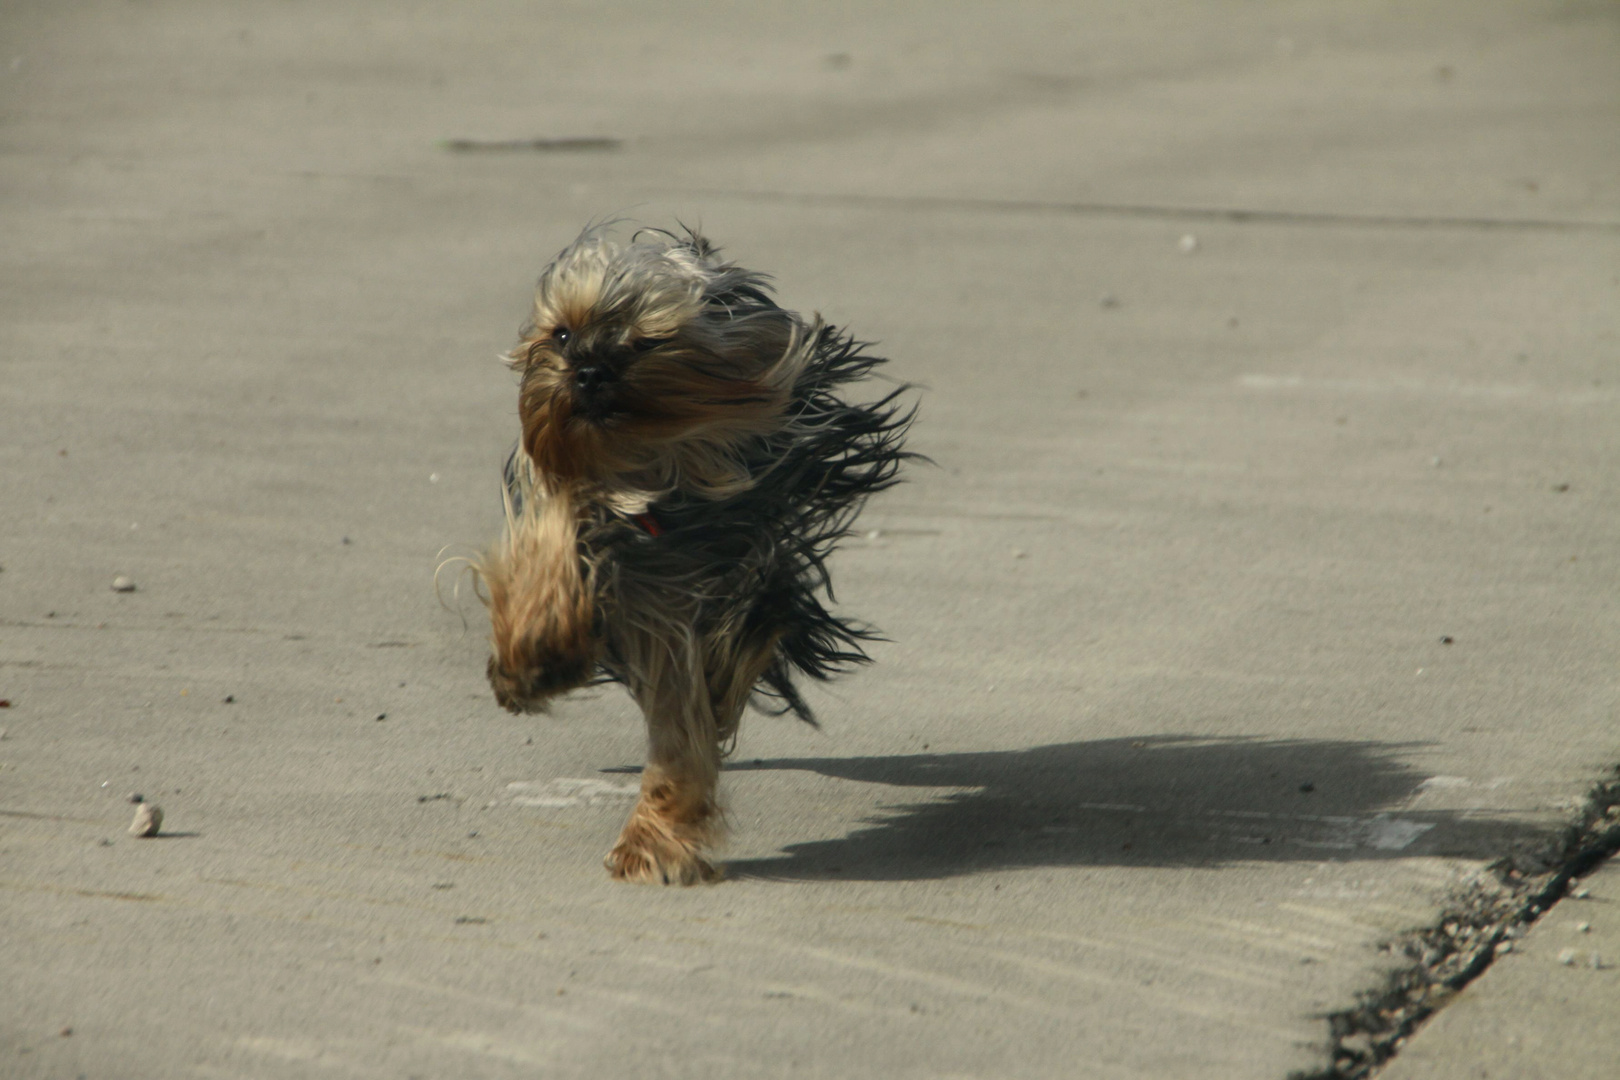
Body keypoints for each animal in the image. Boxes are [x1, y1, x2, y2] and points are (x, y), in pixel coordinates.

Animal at [469, 228, 913, 887]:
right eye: (562, 334)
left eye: (648, 339)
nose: (589, 373)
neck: (641, 474)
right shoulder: (578, 516)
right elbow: (548, 555)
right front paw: (536, 659)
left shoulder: (699, 590)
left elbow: (683, 718)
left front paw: (653, 840)